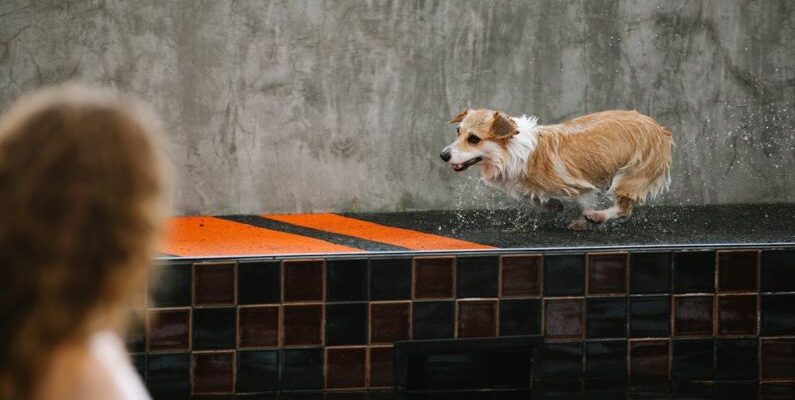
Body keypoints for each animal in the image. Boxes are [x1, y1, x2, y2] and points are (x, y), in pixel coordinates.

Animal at [438, 109, 676, 230]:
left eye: (473, 139)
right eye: (458, 132)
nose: (443, 155)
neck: (512, 152)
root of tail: (660, 128)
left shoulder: (579, 185)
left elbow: (585, 200)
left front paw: (586, 217)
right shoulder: (522, 187)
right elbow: (532, 199)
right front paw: (553, 206)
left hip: (630, 175)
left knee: (624, 209)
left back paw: (597, 216)